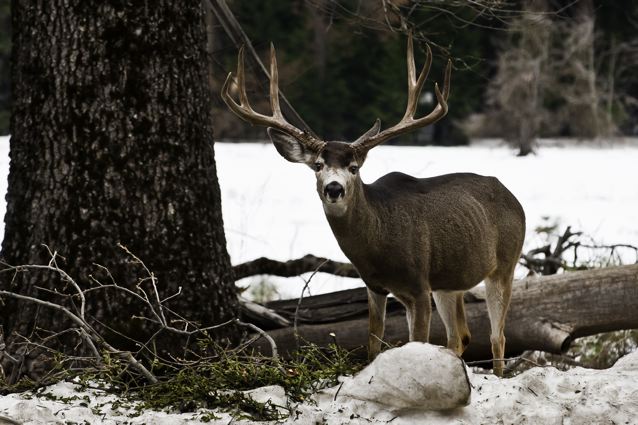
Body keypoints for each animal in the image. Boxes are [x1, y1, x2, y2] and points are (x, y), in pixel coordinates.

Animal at [222, 35, 528, 374]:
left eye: (354, 168)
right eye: (318, 165)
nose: (334, 188)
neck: (379, 243)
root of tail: (511, 196)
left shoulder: (419, 284)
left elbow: (416, 343)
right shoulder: (375, 286)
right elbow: (373, 344)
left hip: (504, 264)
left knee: (497, 337)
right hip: (449, 282)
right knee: (459, 336)